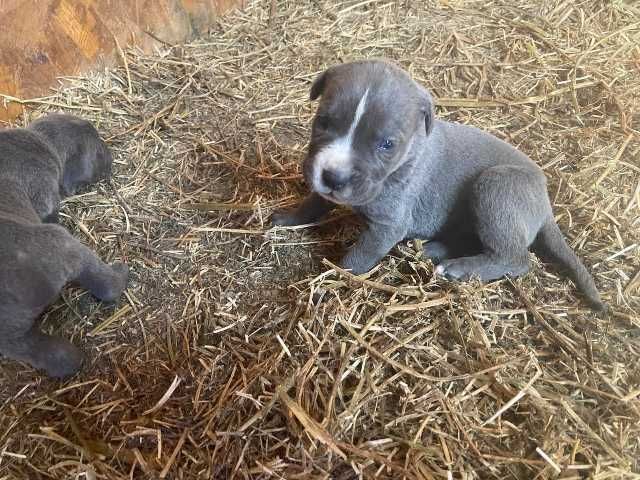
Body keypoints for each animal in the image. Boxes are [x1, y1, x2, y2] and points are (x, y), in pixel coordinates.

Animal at [0, 113, 130, 378]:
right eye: (98, 148)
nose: (111, 157)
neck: (41, 141)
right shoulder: (44, 190)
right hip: (61, 245)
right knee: (105, 283)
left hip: (8, 331)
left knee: (27, 347)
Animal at [272, 59, 604, 312]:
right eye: (323, 122)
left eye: (387, 145)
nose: (335, 178)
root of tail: (545, 203)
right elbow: (314, 201)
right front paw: (288, 217)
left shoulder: (387, 226)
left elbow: (357, 259)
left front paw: (331, 279)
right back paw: (431, 250)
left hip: (495, 187)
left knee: (516, 257)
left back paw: (459, 268)